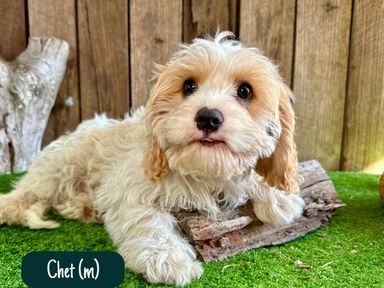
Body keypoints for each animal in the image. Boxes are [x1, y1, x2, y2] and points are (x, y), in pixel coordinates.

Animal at [0, 32, 306, 286]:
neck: (204, 172)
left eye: (245, 91)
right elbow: (149, 220)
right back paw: (9, 207)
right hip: (62, 163)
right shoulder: (131, 186)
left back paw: (86, 209)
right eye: (188, 86)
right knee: (31, 189)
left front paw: (278, 196)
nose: (208, 117)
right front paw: (169, 260)